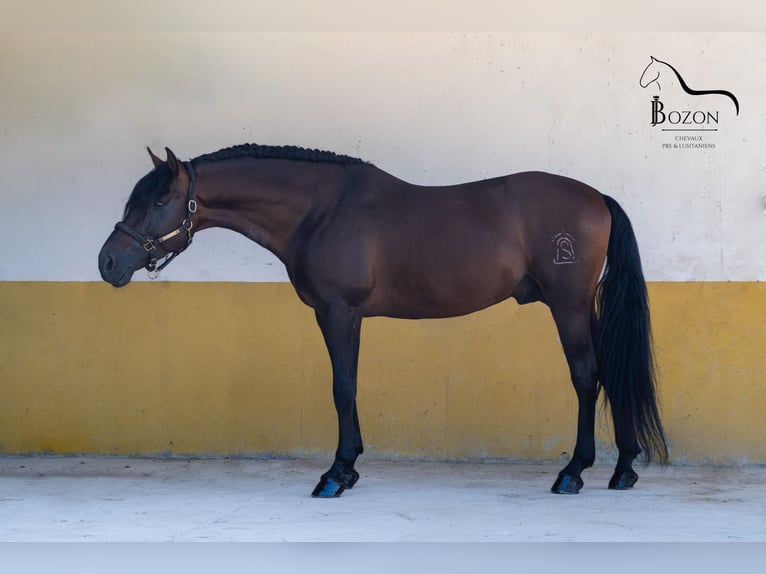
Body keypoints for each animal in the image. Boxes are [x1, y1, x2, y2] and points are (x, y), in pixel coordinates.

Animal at [99, 145, 668, 500]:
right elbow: (346, 386)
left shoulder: (339, 311)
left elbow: (342, 388)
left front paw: (335, 474)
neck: (320, 211)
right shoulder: (336, 315)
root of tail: (597, 198)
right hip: (581, 307)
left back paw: (573, 473)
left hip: (567, 305)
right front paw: (348, 469)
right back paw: (623, 470)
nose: (107, 263)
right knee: (611, 373)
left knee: (587, 377)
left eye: (159, 199)